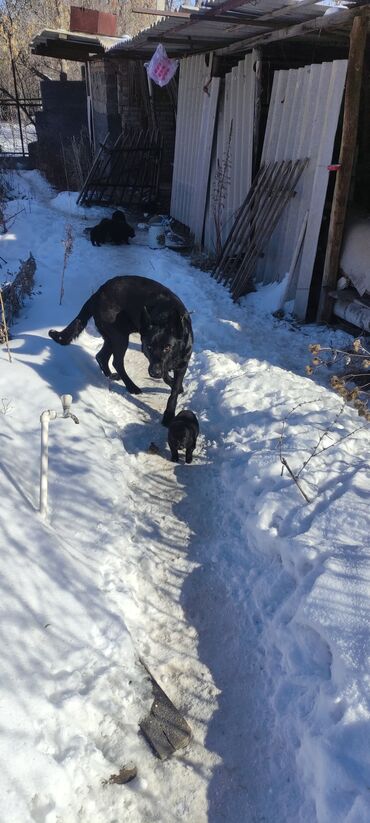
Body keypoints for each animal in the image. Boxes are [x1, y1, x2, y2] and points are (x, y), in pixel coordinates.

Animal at [48, 276, 194, 424]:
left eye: (167, 347)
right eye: (149, 347)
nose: (154, 373)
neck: (164, 318)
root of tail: (98, 293)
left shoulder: (182, 364)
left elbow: (173, 388)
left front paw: (174, 393)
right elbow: (167, 378)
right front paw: (169, 414)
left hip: (112, 336)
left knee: (101, 356)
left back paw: (110, 375)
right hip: (120, 337)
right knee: (116, 362)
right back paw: (131, 386)